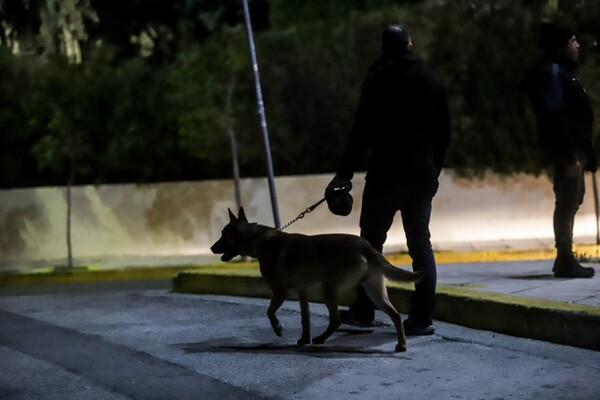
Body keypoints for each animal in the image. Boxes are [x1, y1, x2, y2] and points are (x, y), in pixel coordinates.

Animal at [211, 208, 422, 352]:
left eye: (222, 235)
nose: (212, 248)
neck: (260, 240)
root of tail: (367, 246)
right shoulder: (302, 292)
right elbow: (305, 319)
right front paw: (304, 339)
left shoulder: (280, 291)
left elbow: (270, 312)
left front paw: (278, 329)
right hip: (374, 292)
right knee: (395, 315)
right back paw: (401, 345)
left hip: (329, 289)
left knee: (336, 320)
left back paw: (320, 339)